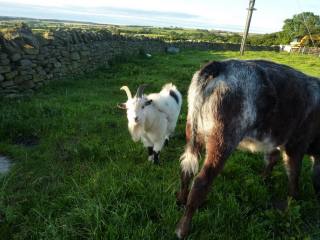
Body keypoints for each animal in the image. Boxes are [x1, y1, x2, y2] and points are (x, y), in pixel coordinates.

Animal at [176, 59, 320, 237]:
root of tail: (220, 65)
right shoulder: (296, 145)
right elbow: (294, 174)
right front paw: (294, 200)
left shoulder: (276, 142)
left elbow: (272, 159)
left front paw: (264, 179)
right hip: (223, 142)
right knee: (200, 182)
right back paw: (183, 229)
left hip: (192, 133)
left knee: (186, 170)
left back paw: (181, 200)